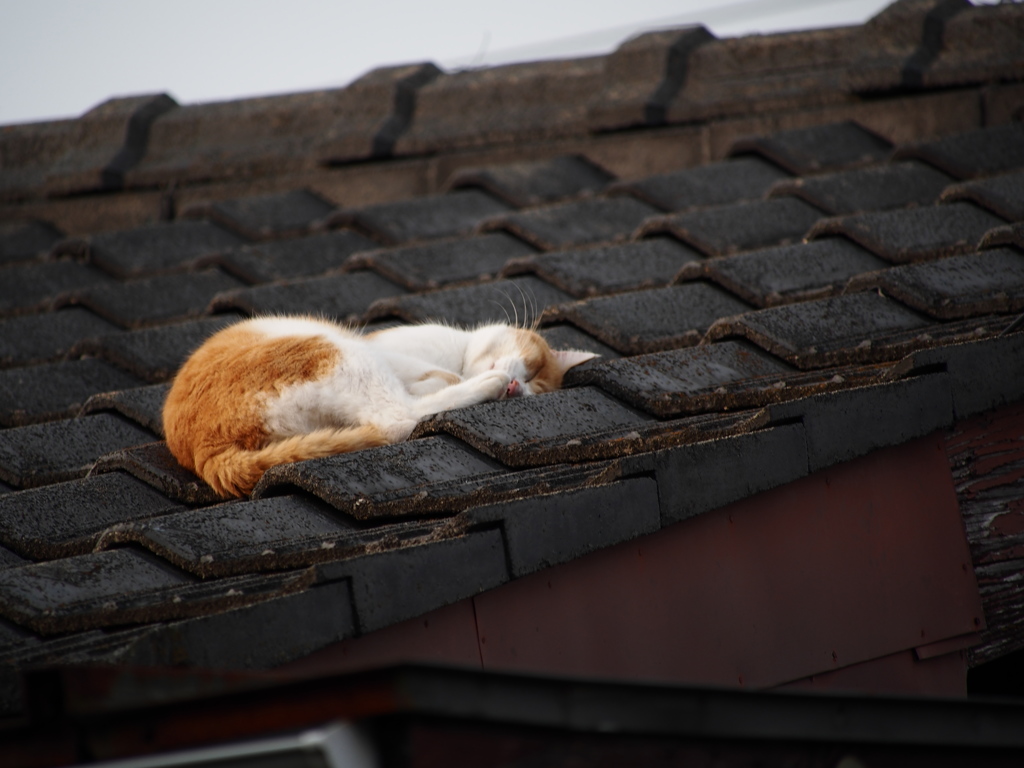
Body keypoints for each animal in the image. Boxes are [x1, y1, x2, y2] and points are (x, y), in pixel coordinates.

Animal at [162, 313, 598, 499]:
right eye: (533, 371)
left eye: (534, 388)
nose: (515, 386)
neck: (458, 358)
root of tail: (204, 451)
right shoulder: (390, 351)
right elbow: (434, 376)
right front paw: (447, 377)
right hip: (339, 350)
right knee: (398, 415)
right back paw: (480, 385)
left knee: (393, 419)